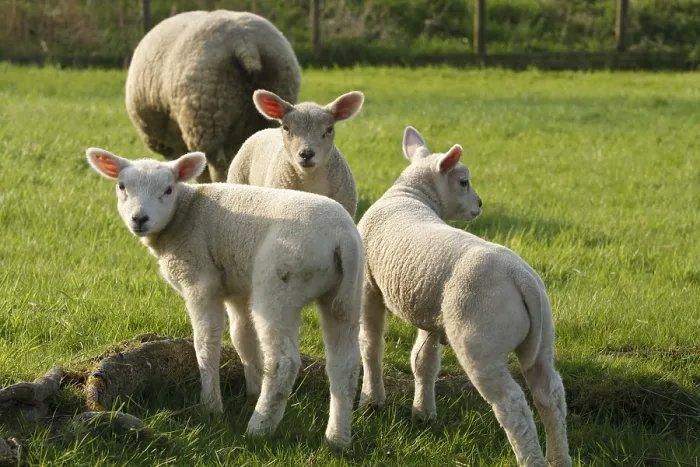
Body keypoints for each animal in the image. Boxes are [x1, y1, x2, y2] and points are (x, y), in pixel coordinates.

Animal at [85, 147, 363, 448]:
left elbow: (206, 342)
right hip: (346, 293)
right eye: (122, 186)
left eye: (168, 190)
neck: (184, 215)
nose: (139, 219)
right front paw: (251, 389)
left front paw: (211, 407)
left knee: (284, 361)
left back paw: (259, 427)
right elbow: (243, 339)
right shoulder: (237, 290)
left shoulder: (200, 282)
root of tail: (342, 237)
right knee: (344, 366)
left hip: (280, 284)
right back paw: (337, 439)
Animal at [357, 127, 571, 466]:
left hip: (480, 342)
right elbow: (423, 361)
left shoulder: (369, 287)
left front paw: (372, 400)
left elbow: (372, 345)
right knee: (550, 393)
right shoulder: (431, 310)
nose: (480, 204)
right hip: (542, 339)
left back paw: (530, 458)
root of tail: (520, 277)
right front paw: (423, 412)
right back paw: (559, 457)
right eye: (463, 182)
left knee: (512, 403)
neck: (408, 196)